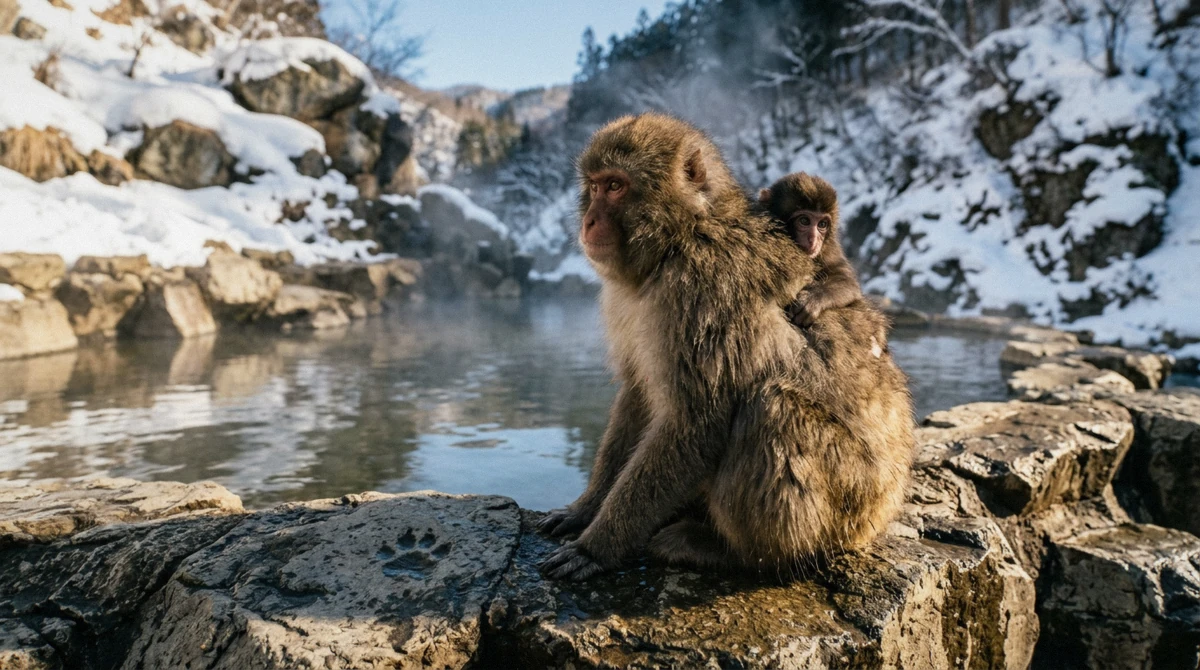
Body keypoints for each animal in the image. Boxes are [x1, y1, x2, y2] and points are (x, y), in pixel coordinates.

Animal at [758, 172, 863, 329]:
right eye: (804, 221)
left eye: (822, 224)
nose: (814, 239)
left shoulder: (829, 249)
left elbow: (845, 279)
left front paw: (815, 297)